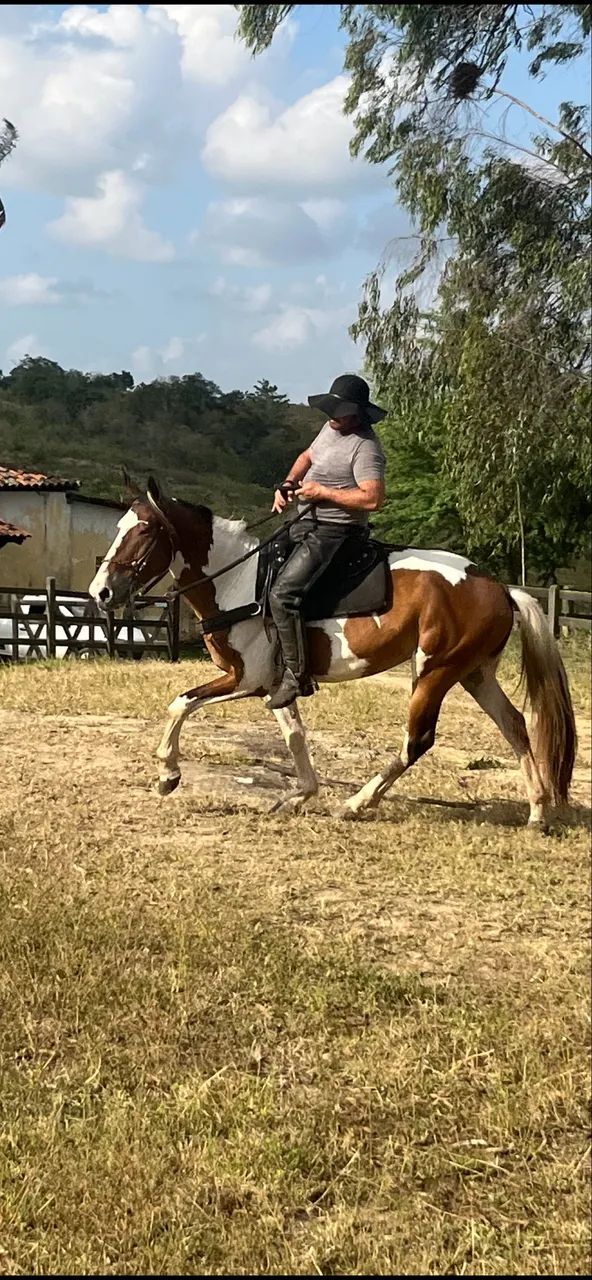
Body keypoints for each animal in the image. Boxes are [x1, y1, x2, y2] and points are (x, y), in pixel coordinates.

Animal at [88, 476, 576, 827]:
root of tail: (500, 589)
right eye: (118, 529)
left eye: (145, 530)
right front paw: (299, 794)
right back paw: (537, 812)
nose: (101, 592)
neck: (241, 582)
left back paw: (357, 803)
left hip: (435, 671)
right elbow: (293, 735)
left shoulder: (245, 678)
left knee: (417, 740)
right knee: (515, 726)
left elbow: (180, 703)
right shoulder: (277, 683)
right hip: (475, 674)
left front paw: (167, 775)